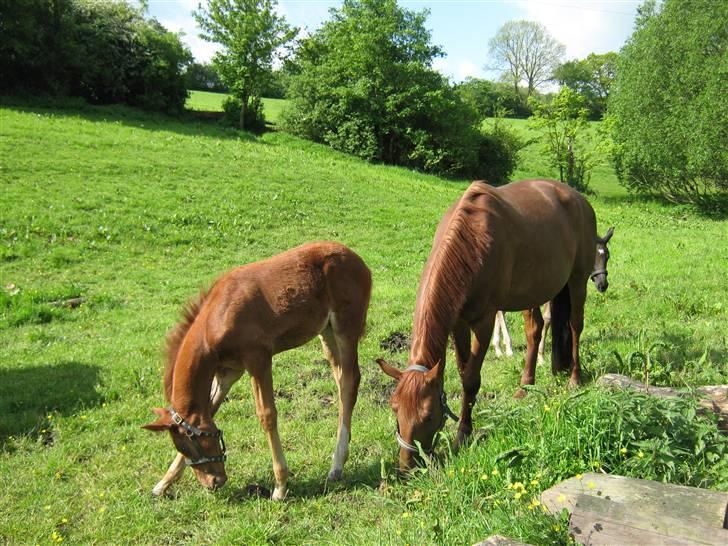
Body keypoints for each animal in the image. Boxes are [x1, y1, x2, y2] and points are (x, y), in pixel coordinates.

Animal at [142, 241, 370, 498]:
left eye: (191, 444)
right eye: (182, 447)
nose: (214, 482)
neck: (215, 319)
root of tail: (356, 259)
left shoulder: (258, 359)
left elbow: (267, 415)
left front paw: (280, 486)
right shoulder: (229, 371)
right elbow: (211, 409)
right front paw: (163, 483)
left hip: (346, 327)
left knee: (350, 383)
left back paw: (337, 465)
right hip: (326, 332)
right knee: (341, 382)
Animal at [378, 181, 600, 470]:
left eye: (427, 416)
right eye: (395, 408)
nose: (408, 467)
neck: (471, 242)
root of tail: (579, 199)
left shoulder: (483, 323)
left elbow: (471, 379)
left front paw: (463, 434)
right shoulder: (458, 323)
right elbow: (463, 371)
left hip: (577, 280)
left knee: (575, 326)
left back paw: (574, 378)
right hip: (535, 291)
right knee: (535, 331)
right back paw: (525, 387)